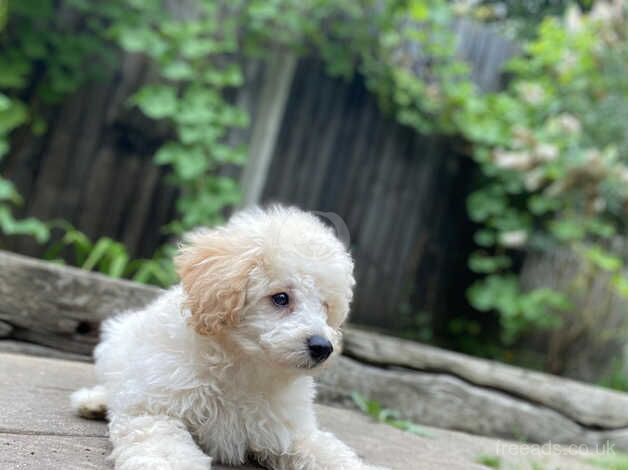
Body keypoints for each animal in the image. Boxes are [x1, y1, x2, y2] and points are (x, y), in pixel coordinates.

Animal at [70, 206, 382, 470]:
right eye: (281, 298)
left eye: (325, 307)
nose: (322, 347)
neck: (243, 364)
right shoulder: (153, 410)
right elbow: (164, 447)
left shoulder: (292, 432)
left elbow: (328, 452)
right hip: (115, 345)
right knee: (117, 384)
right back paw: (94, 401)